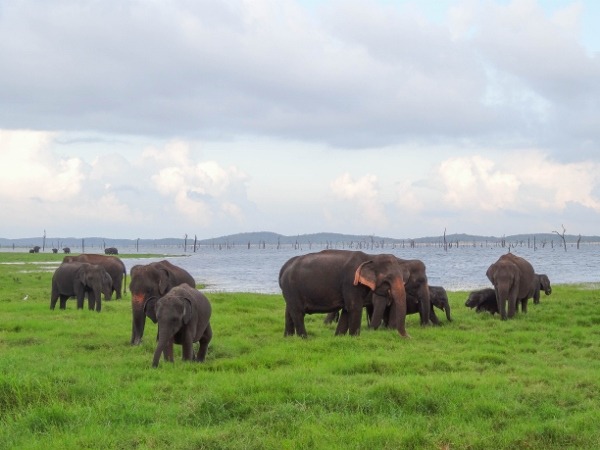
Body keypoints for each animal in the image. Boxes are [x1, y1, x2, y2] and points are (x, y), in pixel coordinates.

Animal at [278, 250, 410, 338]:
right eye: (388, 279)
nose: (409, 338)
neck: (370, 257)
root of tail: (283, 268)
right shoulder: (350, 283)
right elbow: (354, 307)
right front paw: (355, 338)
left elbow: (347, 309)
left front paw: (339, 337)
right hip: (292, 288)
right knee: (298, 312)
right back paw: (304, 339)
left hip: (289, 291)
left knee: (289, 311)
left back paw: (288, 338)